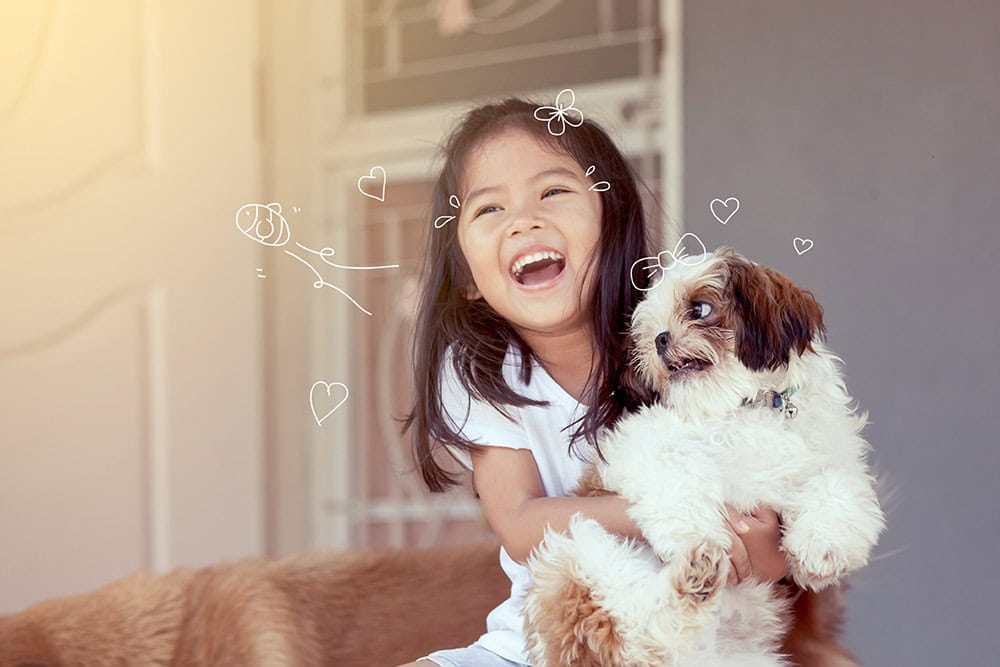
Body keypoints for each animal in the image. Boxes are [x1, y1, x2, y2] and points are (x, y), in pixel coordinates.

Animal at [524, 247, 884, 667]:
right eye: (648, 331)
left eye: (699, 309)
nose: (660, 339)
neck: (747, 407)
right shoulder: (640, 444)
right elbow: (678, 475)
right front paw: (696, 533)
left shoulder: (833, 458)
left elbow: (836, 485)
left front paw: (823, 547)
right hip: (576, 553)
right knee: (635, 628)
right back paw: (695, 573)